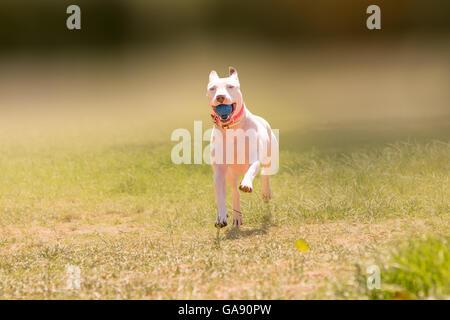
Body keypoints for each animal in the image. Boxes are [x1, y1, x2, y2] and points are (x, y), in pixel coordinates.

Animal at [207, 67, 278, 228]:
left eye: (230, 86)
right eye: (212, 88)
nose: (220, 97)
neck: (231, 128)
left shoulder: (254, 158)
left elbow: (251, 171)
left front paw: (246, 184)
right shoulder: (219, 171)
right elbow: (220, 196)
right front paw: (221, 216)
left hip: (270, 155)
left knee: (265, 172)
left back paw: (266, 192)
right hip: (230, 174)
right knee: (234, 192)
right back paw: (236, 216)